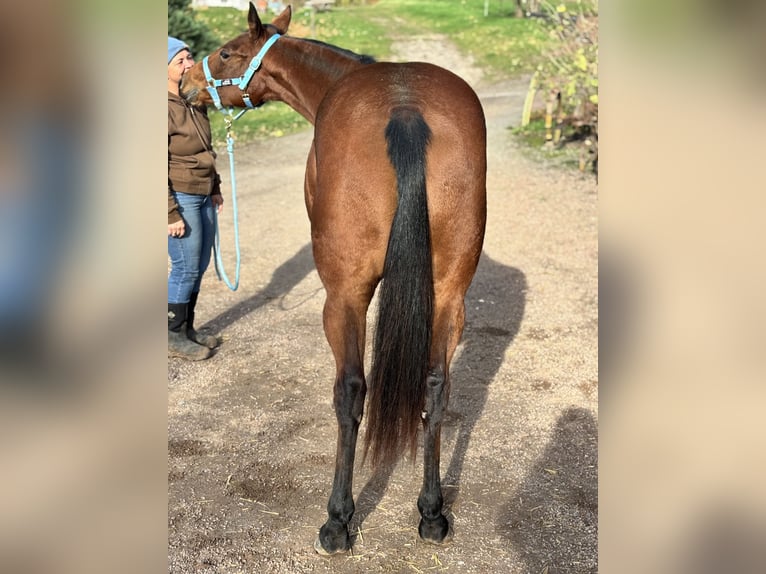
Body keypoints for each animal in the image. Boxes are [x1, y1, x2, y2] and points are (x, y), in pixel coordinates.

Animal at [181, 3, 487, 555]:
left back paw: (338, 520)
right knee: (436, 387)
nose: (186, 84)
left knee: (350, 392)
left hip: (342, 297)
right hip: (450, 296)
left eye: (227, 53)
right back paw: (432, 513)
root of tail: (406, 112)